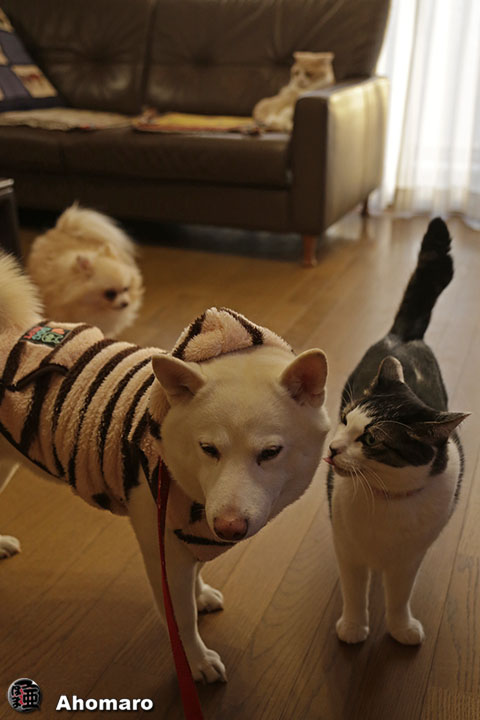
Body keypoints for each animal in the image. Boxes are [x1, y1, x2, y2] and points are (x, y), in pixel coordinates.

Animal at [0, 254, 330, 682]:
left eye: (271, 452)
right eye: (208, 449)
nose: (229, 527)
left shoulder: (187, 536)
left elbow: (195, 581)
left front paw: (201, 593)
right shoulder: (163, 549)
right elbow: (182, 618)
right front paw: (197, 661)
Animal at [325, 218, 469, 646]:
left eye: (371, 439)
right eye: (346, 419)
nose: (333, 448)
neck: (386, 497)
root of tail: (405, 336)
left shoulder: (410, 558)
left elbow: (400, 595)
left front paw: (401, 628)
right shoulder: (348, 549)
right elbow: (355, 590)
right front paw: (354, 628)